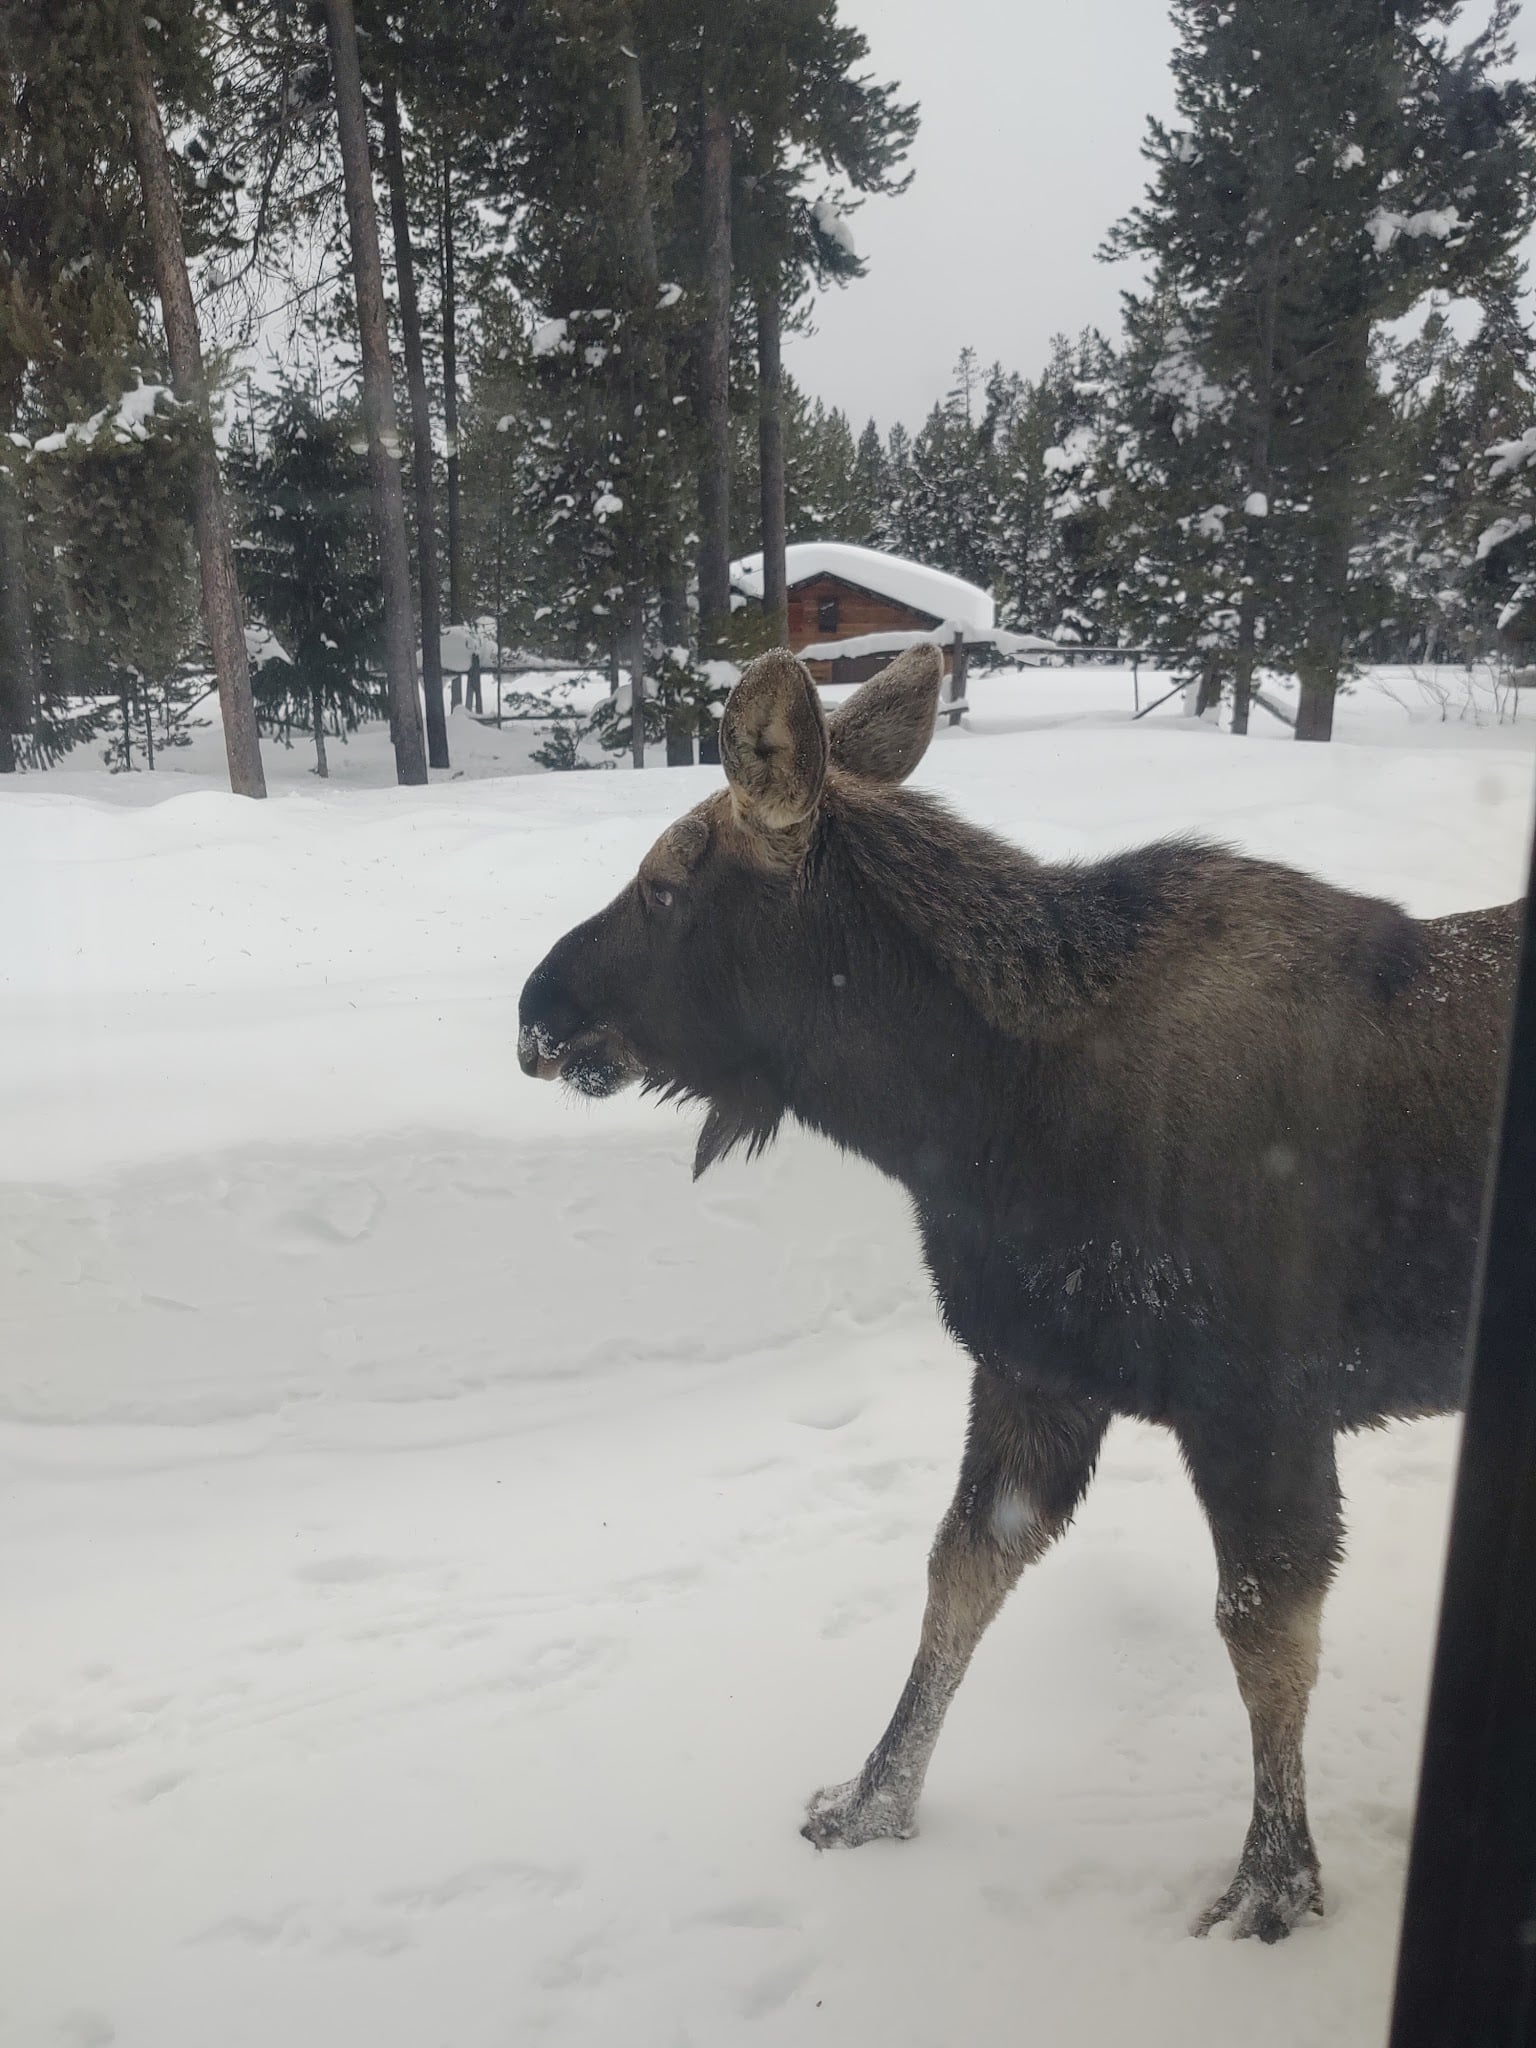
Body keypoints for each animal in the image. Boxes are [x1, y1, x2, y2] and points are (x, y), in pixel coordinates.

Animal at [518, 644, 1517, 1943]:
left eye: (662, 887)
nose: (532, 1011)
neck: (967, 1125)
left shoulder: (1260, 1405)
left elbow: (1264, 1637)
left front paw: (1273, 1885)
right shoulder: (1036, 1367)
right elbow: (959, 1575)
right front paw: (868, 1799)